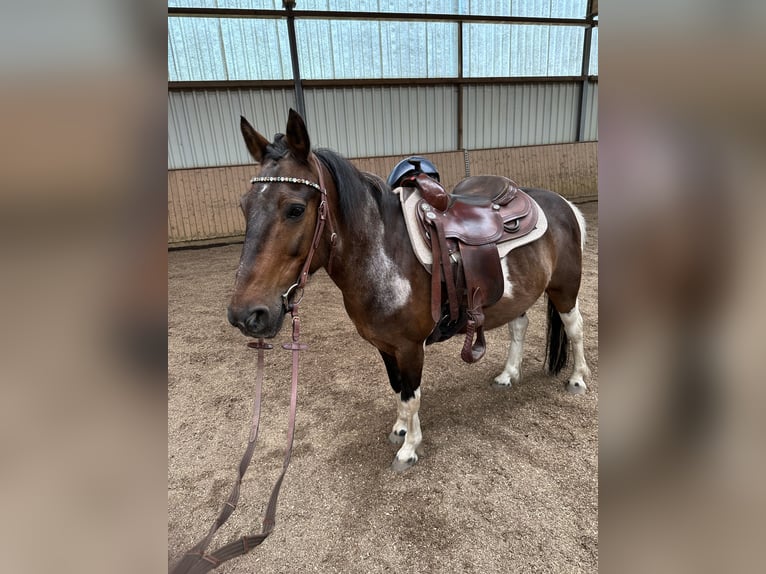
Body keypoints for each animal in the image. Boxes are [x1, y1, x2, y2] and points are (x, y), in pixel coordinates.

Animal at [225, 109, 592, 472]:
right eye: (243, 206)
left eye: (296, 209)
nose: (246, 314)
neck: (384, 254)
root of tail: (562, 203)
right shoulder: (385, 345)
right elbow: (398, 388)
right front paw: (400, 429)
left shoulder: (410, 347)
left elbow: (411, 394)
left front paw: (409, 449)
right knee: (520, 326)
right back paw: (508, 375)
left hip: (565, 288)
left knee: (574, 328)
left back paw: (577, 379)